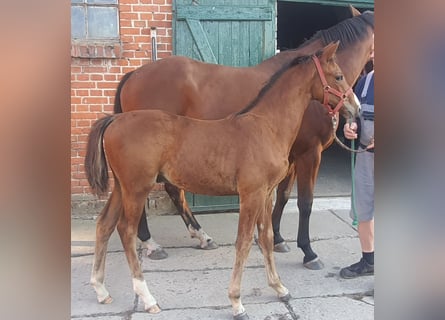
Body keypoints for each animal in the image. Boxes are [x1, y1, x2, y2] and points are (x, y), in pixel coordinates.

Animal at [86, 42, 358, 318]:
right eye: (338, 76)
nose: (355, 108)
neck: (267, 126)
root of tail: (115, 120)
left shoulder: (266, 194)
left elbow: (267, 238)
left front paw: (279, 287)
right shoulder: (251, 194)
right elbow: (245, 242)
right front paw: (237, 302)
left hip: (121, 188)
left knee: (104, 225)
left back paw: (101, 290)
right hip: (137, 188)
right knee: (126, 231)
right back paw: (148, 297)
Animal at [113, 7, 372, 268]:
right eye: (338, 77)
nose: (357, 108)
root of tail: (133, 75)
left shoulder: (291, 157)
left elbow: (282, 197)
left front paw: (276, 239)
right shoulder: (310, 153)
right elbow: (305, 203)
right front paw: (308, 252)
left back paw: (201, 237)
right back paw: (152, 243)